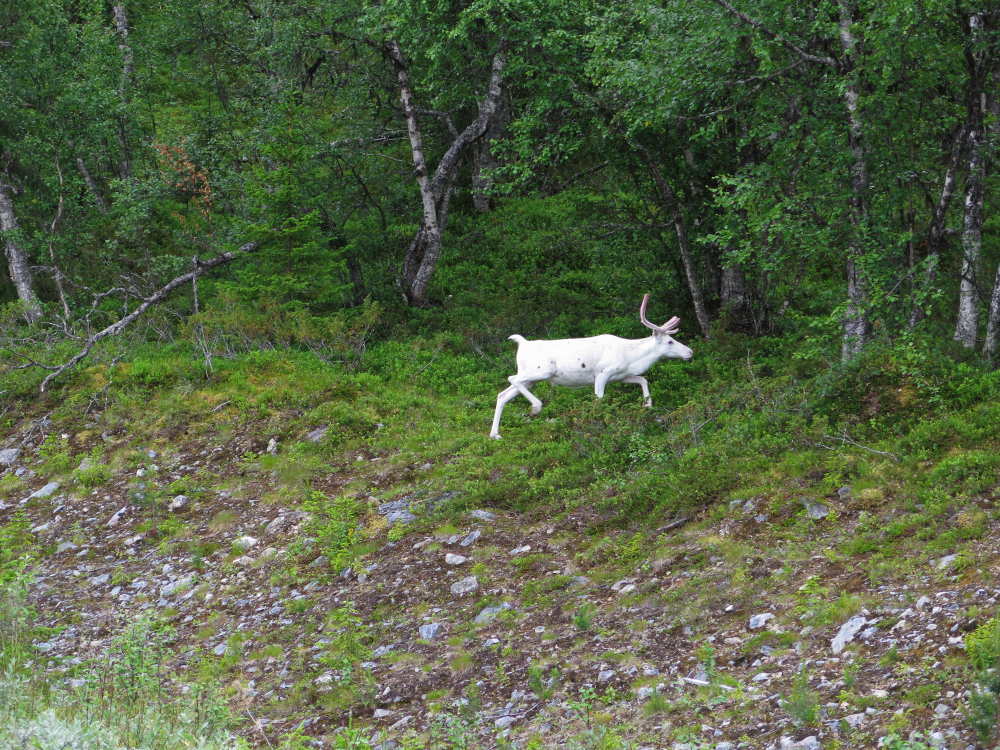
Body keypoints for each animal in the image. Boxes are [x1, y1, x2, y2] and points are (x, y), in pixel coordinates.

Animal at [490, 294, 694, 438]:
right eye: (669, 341)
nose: (690, 352)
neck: (631, 358)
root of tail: (521, 343)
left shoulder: (620, 376)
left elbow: (643, 379)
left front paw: (647, 405)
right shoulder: (602, 373)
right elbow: (599, 400)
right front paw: (599, 425)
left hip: (532, 378)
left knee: (502, 395)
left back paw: (495, 434)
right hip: (542, 370)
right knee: (512, 378)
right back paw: (535, 408)